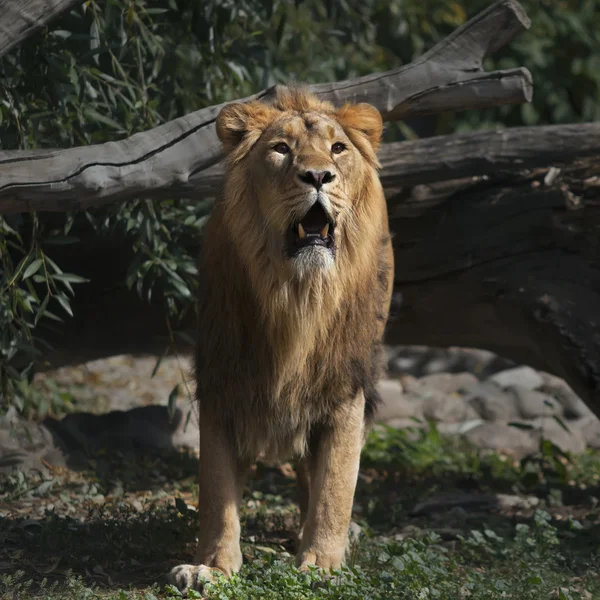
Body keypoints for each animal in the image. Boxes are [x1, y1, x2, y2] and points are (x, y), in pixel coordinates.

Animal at [168, 85, 394, 596]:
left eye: (338, 149)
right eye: (281, 149)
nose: (319, 176)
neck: (297, 297)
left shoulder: (344, 387)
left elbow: (335, 485)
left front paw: (323, 564)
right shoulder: (222, 379)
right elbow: (216, 490)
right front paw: (211, 567)